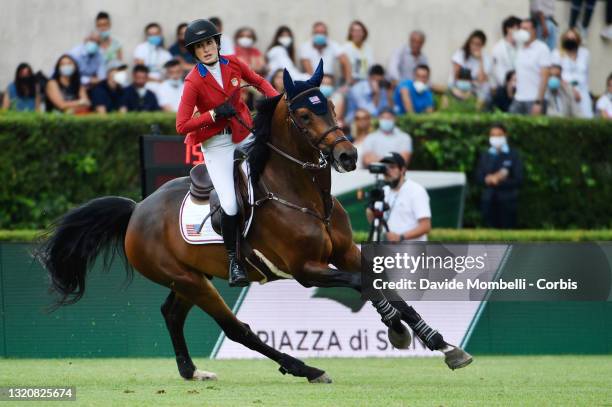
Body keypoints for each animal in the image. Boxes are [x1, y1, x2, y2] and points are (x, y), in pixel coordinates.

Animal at [38, 62, 474, 384]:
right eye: (303, 114)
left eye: (332, 107)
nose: (349, 156)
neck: (307, 197)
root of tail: (137, 210)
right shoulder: (306, 270)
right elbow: (361, 284)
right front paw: (397, 331)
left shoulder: (347, 252)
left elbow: (381, 284)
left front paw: (442, 344)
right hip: (190, 280)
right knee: (237, 329)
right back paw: (305, 368)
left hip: (190, 278)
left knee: (172, 314)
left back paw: (192, 372)